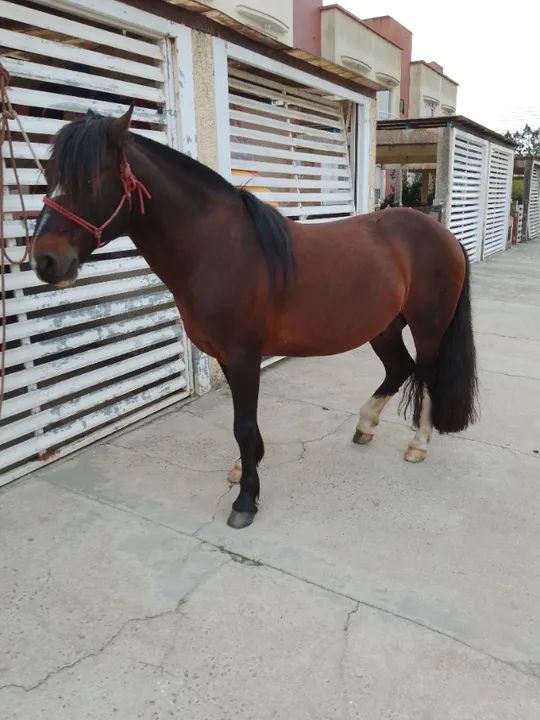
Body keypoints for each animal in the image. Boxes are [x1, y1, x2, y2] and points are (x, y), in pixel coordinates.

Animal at [32, 106, 478, 529]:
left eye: (90, 178)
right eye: (49, 174)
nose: (45, 261)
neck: (218, 249)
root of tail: (444, 235)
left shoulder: (244, 355)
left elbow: (243, 425)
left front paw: (245, 500)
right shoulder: (227, 357)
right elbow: (244, 425)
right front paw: (245, 468)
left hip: (428, 328)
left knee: (427, 374)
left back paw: (418, 444)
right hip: (384, 327)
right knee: (399, 368)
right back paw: (365, 426)